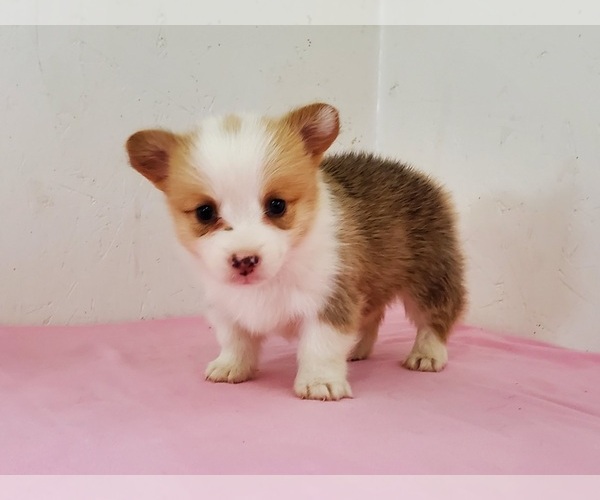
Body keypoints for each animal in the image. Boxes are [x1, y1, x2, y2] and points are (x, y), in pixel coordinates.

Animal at [124, 103, 466, 400]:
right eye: (205, 212)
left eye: (277, 205)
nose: (244, 261)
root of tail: (418, 176)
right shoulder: (225, 306)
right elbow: (235, 339)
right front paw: (231, 366)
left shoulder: (329, 300)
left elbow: (320, 346)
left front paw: (319, 383)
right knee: (370, 316)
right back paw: (357, 348)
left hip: (430, 275)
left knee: (437, 314)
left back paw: (426, 354)